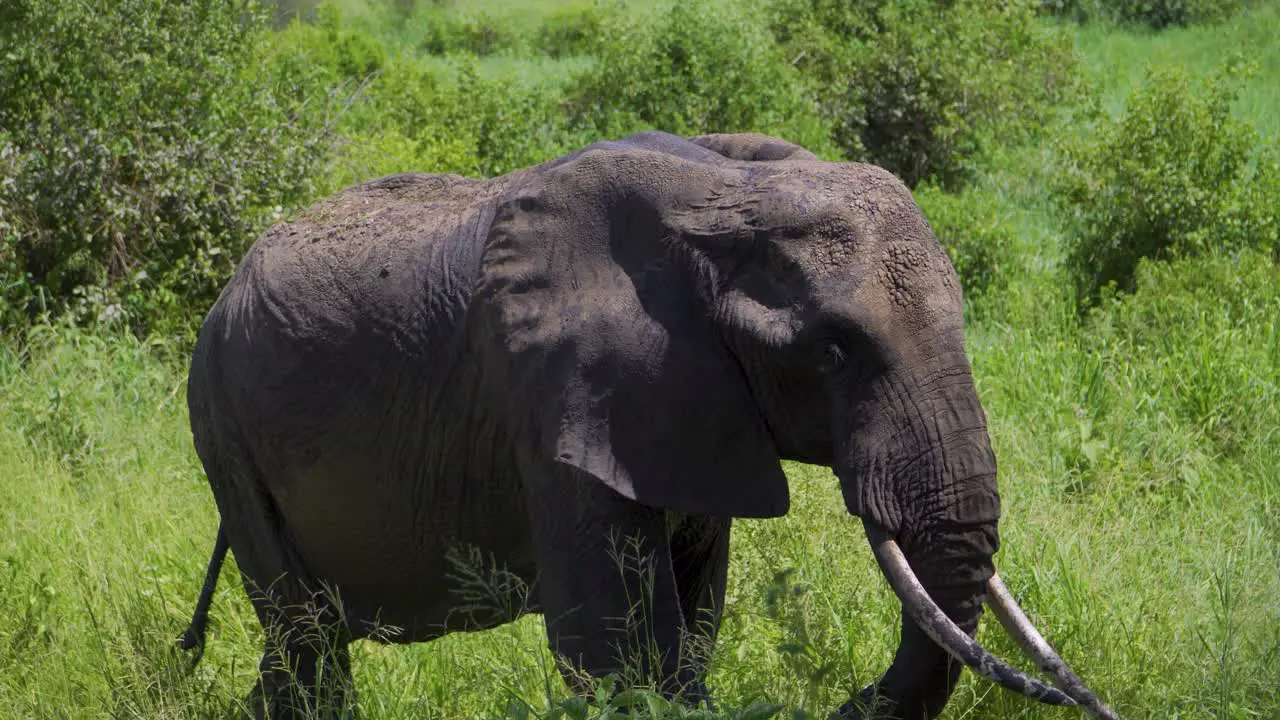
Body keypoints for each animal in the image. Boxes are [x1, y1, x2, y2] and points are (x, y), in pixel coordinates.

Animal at [183, 130, 1121, 717]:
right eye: (833, 350)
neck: (727, 200)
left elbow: (694, 617)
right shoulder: (556, 392)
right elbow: (619, 649)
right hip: (221, 423)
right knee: (306, 640)